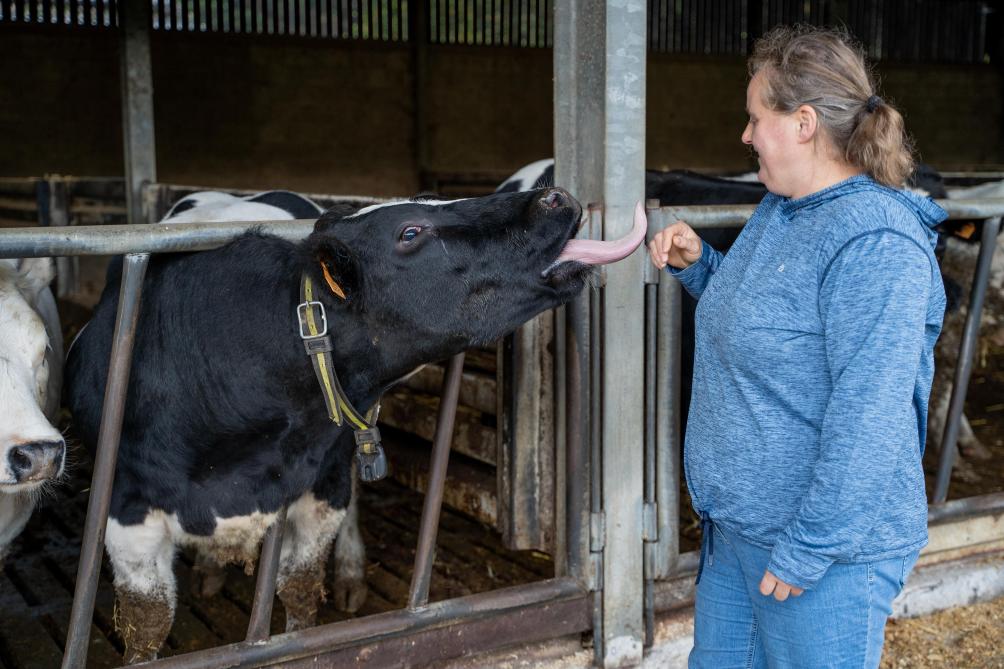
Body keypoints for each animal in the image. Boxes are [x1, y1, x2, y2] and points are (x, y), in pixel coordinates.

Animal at [64, 187, 642, 662]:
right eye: (410, 232)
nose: (554, 195)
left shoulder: (323, 487)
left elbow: (299, 596)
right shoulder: (126, 514)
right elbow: (148, 627)